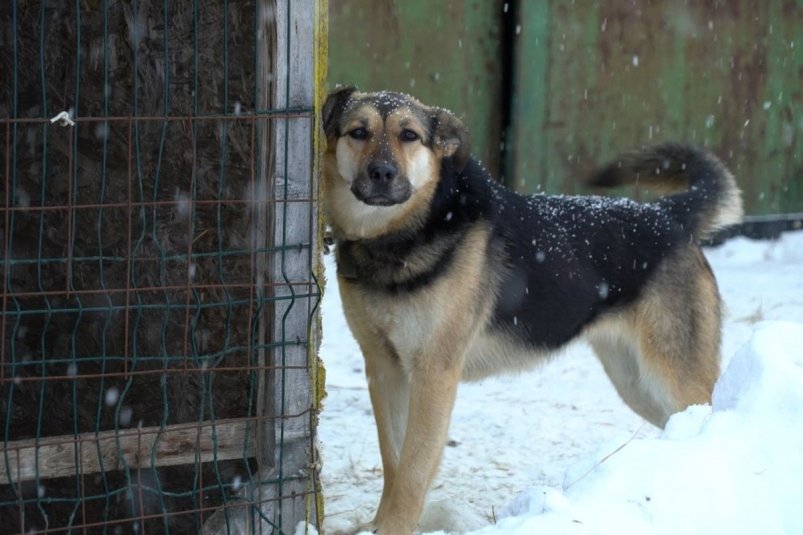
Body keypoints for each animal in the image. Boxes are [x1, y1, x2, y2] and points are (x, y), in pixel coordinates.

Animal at [322, 86, 748, 532]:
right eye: (358, 132)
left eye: (409, 135)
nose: (382, 173)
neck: (400, 237)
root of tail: (666, 215)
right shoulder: (384, 370)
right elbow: (393, 462)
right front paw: (378, 523)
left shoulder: (433, 373)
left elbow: (413, 469)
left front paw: (392, 527)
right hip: (637, 382)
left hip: (672, 375)